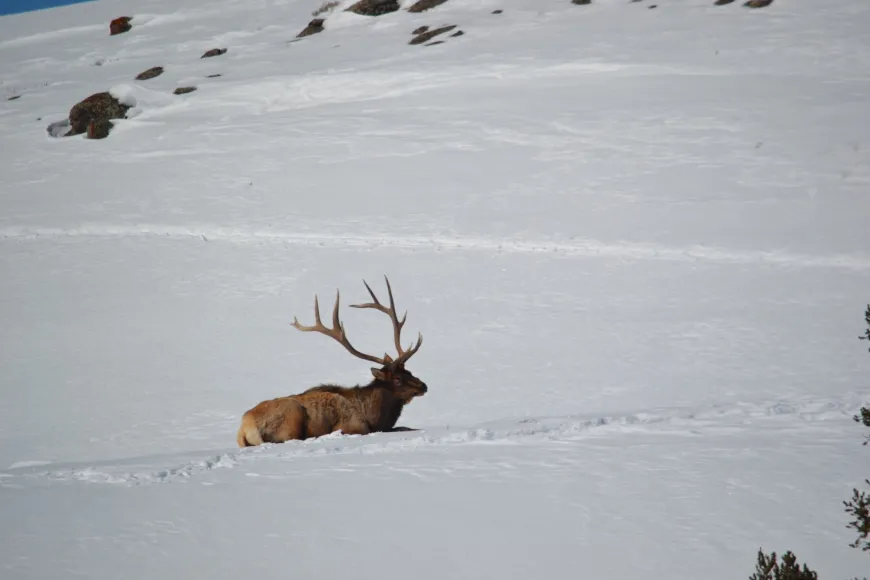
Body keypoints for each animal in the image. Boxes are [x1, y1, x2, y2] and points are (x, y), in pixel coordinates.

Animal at [236, 276, 427, 447]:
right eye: (397, 379)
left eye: (408, 371)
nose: (424, 386)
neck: (375, 416)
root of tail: (245, 428)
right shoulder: (353, 426)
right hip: (292, 415)